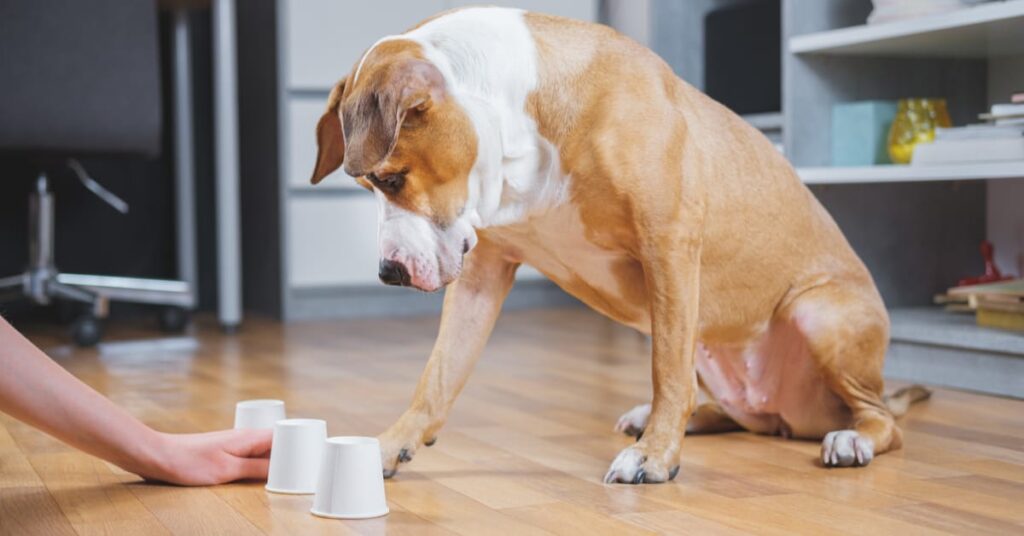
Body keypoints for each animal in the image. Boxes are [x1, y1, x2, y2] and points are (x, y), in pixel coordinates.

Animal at [309, 7, 929, 485]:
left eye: (391, 179)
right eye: (368, 186)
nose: (388, 271)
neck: (521, 122)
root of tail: (792, 415)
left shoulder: (669, 245)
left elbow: (665, 371)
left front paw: (654, 458)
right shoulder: (483, 274)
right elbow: (437, 376)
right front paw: (388, 445)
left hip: (817, 313)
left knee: (881, 419)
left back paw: (850, 439)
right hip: (715, 346)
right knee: (732, 409)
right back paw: (674, 418)